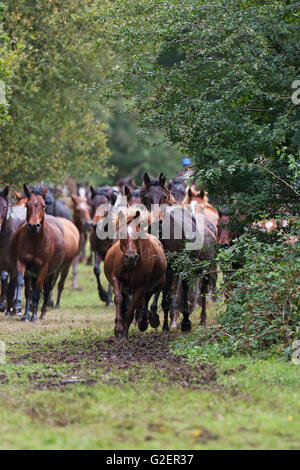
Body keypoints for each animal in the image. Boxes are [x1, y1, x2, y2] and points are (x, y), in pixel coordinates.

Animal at [9, 185, 65, 322]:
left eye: (43, 205)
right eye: (27, 205)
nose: (34, 226)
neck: (36, 241)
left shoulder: (43, 268)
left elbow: (37, 292)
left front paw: (34, 316)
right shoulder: (23, 264)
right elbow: (24, 287)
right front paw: (22, 312)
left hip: (52, 273)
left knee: (47, 289)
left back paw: (42, 312)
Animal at [105, 208, 166, 338]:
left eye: (137, 234)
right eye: (122, 234)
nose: (131, 257)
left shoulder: (141, 286)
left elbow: (132, 308)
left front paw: (124, 334)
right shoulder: (117, 279)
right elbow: (118, 298)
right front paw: (118, 328)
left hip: (156, 285)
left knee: (147, 297)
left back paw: (145, 320)